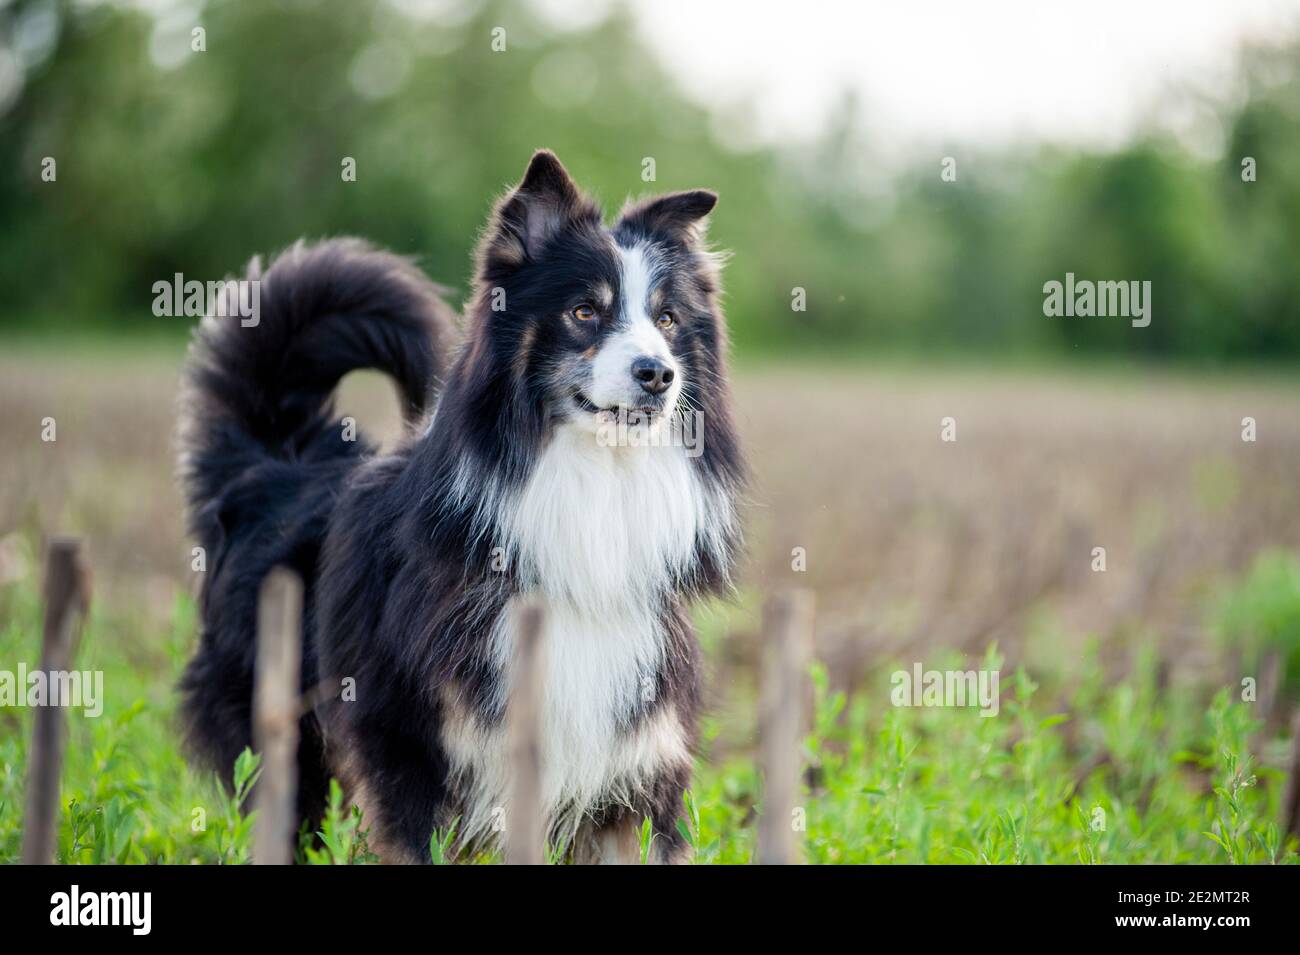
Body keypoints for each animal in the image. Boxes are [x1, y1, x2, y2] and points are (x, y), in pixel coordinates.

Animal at [176, 151, 743, 867]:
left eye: (667, 321)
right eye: (584, 311)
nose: (658, 374)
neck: (593, 483)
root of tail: (275, 465)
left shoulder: (638, 755)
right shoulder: (411, 748)